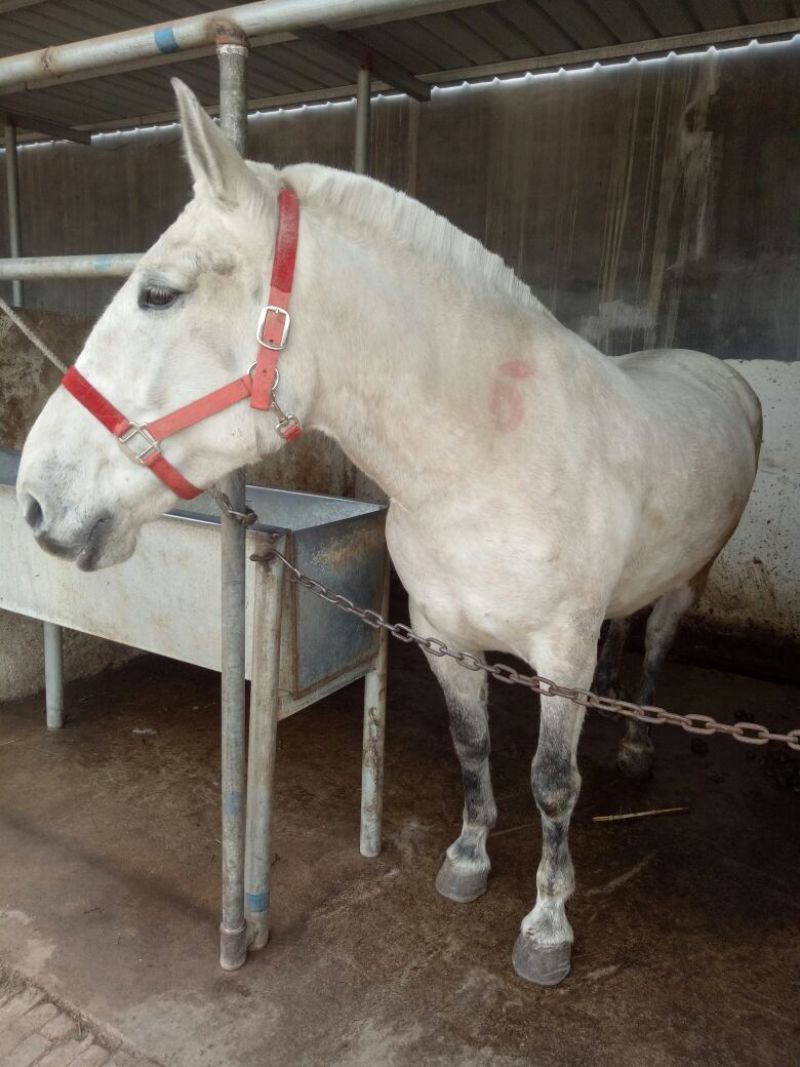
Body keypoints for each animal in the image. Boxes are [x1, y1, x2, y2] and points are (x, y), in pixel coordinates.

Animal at [17, 80, 762, 986]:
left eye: (159, 292)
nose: (36, 499)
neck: (489, 461)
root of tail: (723, 374)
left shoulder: (560, 654)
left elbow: (554, 781)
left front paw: (548, 924)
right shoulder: (442, 634)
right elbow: (472, 744)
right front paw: (469, 859)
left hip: (692, 577)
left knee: (655, 645)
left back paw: (636, 743)